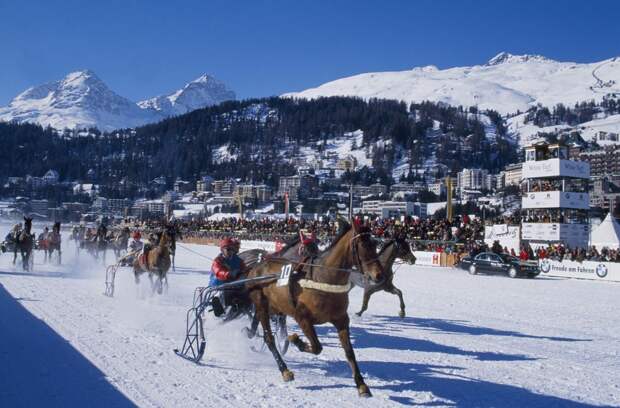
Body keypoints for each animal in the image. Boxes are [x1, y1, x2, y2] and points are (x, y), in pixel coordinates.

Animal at [243, 222, 380, 396]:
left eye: (375, 244)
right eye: (362, 245)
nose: (379, 275)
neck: (322, 278)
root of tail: (256, 267)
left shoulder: (341, 319)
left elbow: (349, 351)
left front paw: (361, 384)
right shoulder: (303, 318)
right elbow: (316, 347)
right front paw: (296, 340)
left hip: (274, 306)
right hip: (261, 303)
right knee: (269, 338)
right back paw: (284, 370)